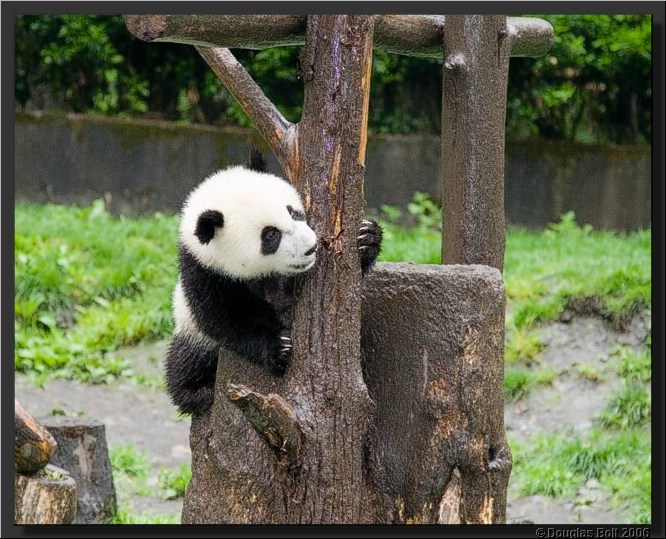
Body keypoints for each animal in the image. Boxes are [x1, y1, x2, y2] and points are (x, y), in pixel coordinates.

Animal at [165, 150, 382, 415]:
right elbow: (226, 320)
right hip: (190, 331)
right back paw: (198, 392)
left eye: (292, 211)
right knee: (186, 361)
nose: (311, 247)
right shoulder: (204, 275)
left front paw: (366, 238)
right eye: (271, 235)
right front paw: (280, 349)